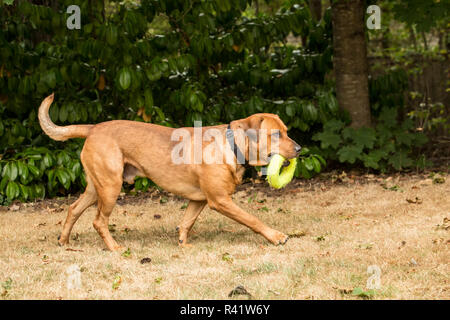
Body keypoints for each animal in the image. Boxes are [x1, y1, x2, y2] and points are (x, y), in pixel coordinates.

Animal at [37, 94, 298, 251]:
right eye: (276, 135)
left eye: (287, 131)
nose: (299, 148)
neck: (231, 144)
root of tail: (93, 128)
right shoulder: (220, 200)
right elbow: (253, 219)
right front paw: (275, 236)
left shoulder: (199, 200)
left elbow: (187, 222)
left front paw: (183, 244)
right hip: (110, 189)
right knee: (99, 221)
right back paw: (114, 248)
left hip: (96, 188)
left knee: (73, 209)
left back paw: (64, 241)